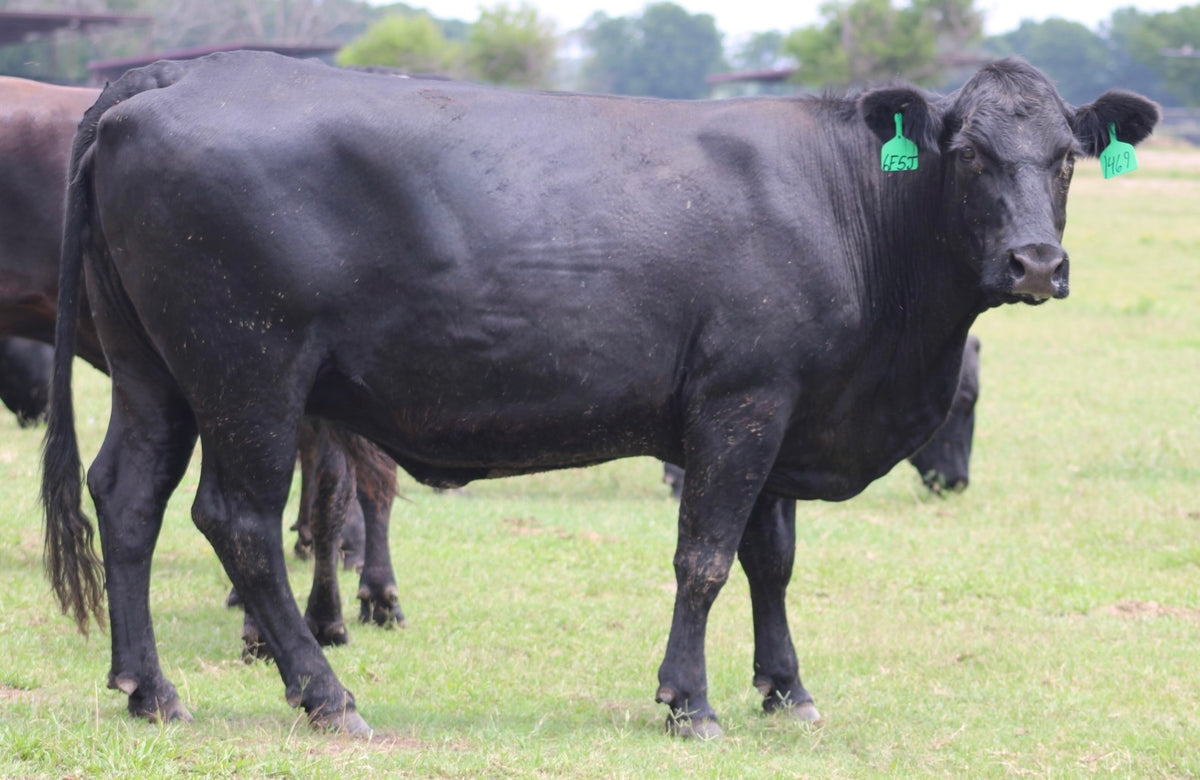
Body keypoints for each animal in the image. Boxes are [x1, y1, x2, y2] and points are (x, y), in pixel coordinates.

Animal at [41, 52, 1158, 737]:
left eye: (1066, 158)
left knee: (128, 498)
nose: (1036, 262)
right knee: (238, 522)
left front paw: (786, 687)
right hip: (251, 377)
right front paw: (690, 702)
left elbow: (772, 560)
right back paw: (326, 696)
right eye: (968, 154)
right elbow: (706, 558)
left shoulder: (784, 409)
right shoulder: (739, 406)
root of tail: (167, 79)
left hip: (154, 375)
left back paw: (149, 689)